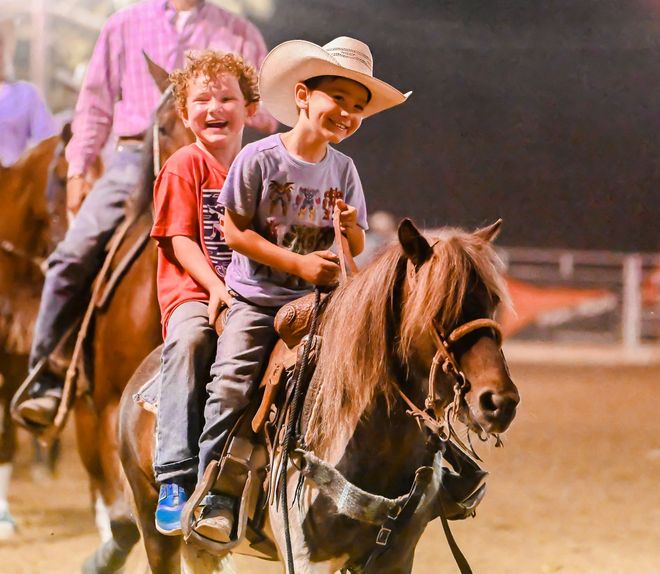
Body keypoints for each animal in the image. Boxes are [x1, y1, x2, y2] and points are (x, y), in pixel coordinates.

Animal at [117, 218, 520, 572]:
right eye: (438, 309)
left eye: (492, 302)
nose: (499, 402)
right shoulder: (306, 558)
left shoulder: (395, 559)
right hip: (154, 528)